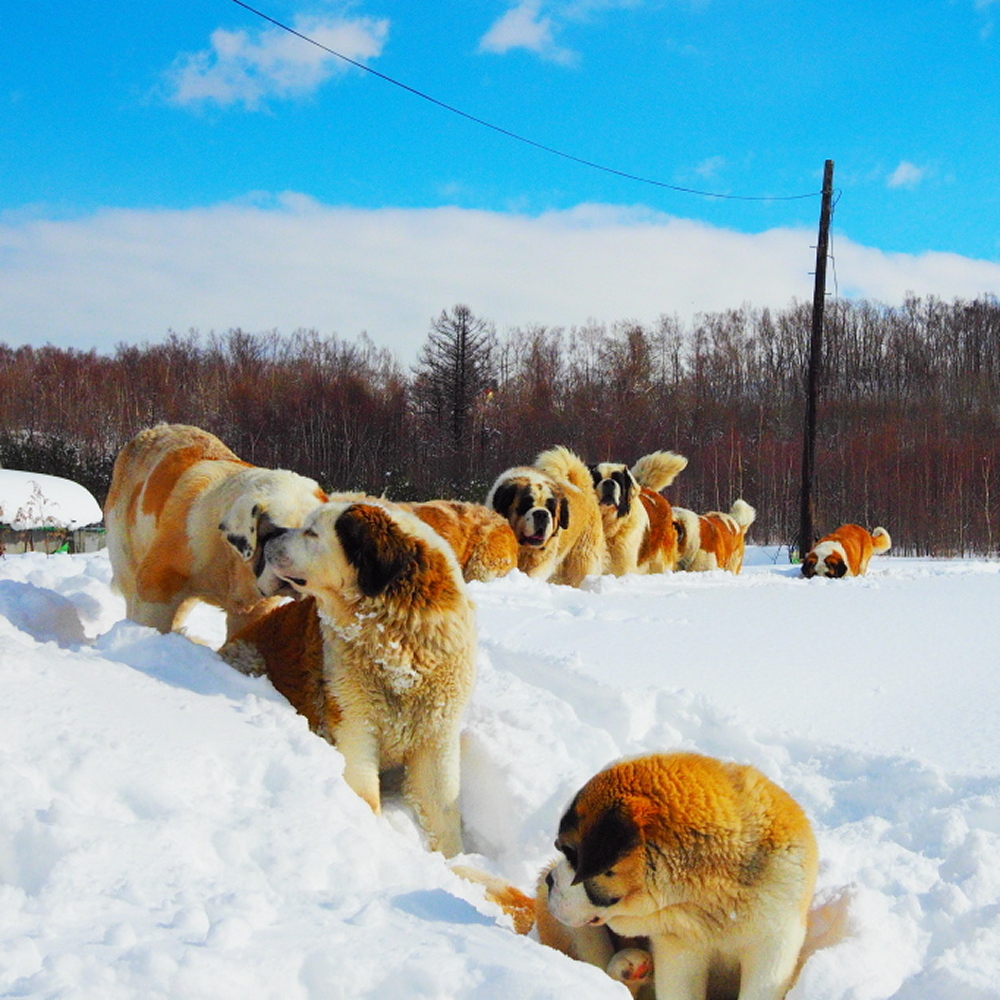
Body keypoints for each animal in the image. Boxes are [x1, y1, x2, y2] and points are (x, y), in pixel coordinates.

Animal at [225, 496, 474, 856]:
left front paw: (453, 862)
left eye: (312, 532)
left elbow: (443, 812)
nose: (270, 535)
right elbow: (365, 795)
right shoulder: (355, 723)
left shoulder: (436, 735)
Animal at [484, 446, 600, 584]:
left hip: (582, 556)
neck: (523, 548)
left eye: (551, 509)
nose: (542, 514)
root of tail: (582, 489)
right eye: (526, 504)